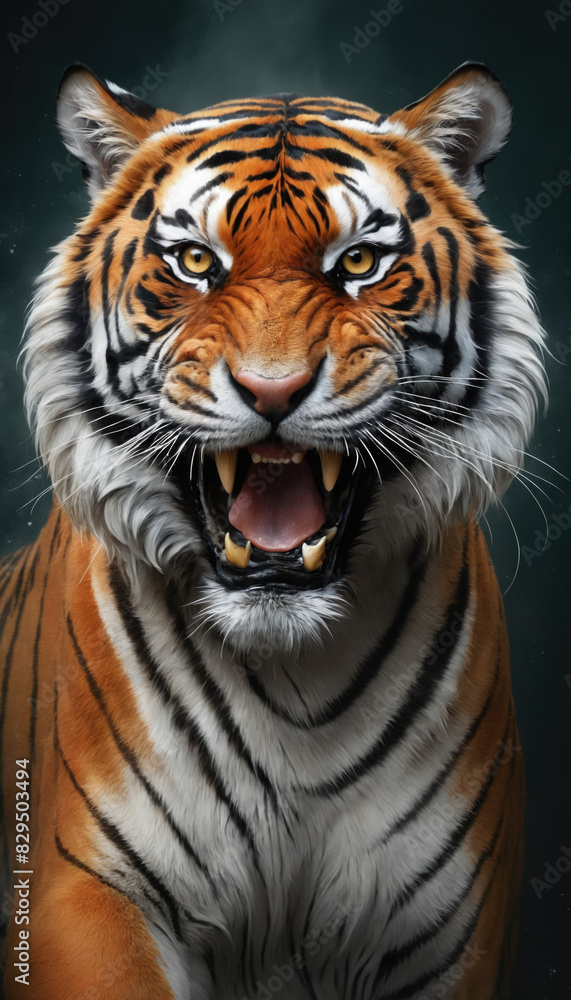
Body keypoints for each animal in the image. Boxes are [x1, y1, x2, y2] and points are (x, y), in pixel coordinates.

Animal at [0, 60, 546, 999]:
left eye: (358, 262)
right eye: (194, 262)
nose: (272, 390)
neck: (296, 679)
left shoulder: (450, 932)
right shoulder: (85, 888)